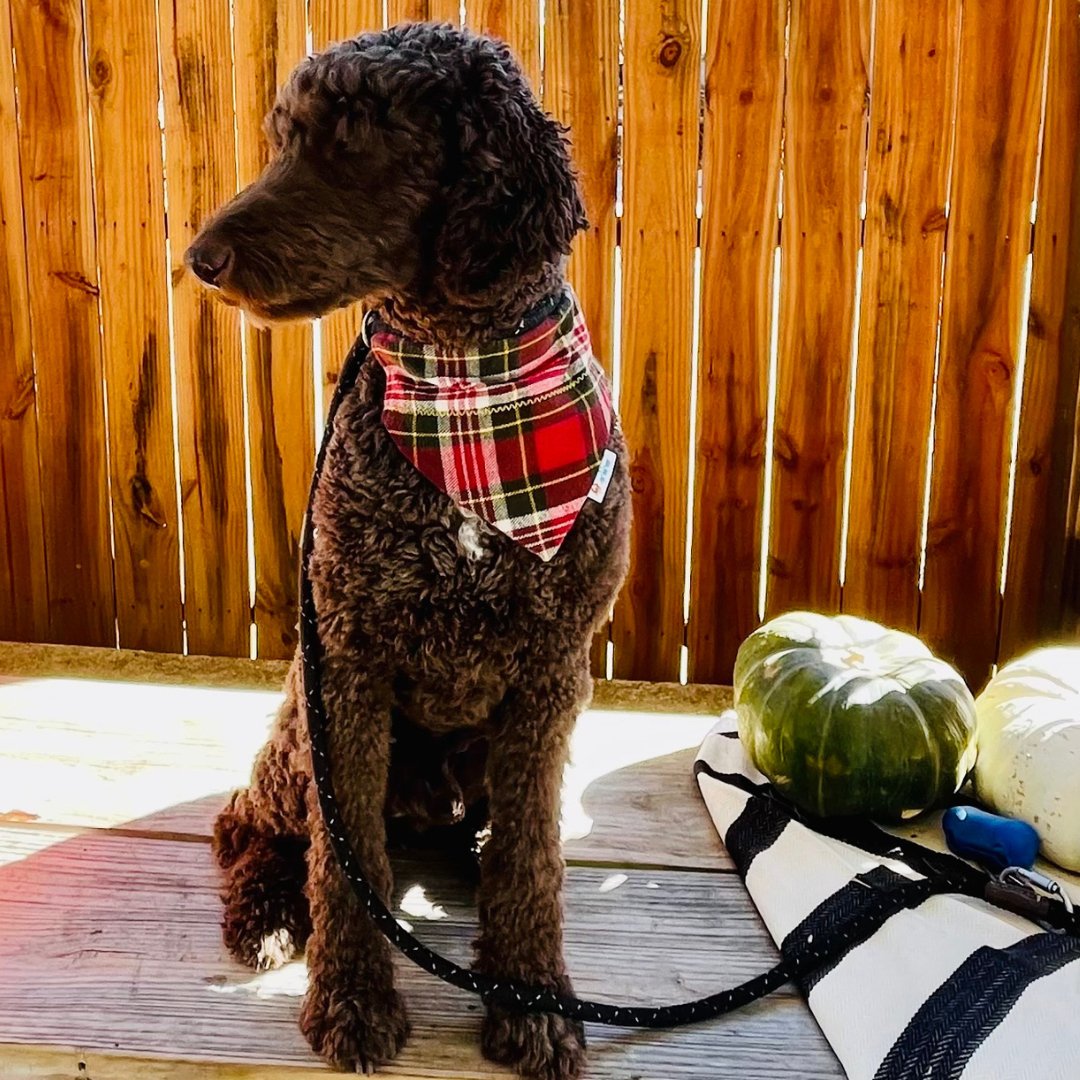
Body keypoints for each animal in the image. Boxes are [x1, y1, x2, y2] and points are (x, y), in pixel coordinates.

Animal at [187, 23, 630, 1080]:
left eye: (353, 144)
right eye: (283, 140)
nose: (200, 258)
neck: (466, 386)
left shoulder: (552, 675)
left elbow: (531, 858)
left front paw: (533, 1001)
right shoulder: (351, 662)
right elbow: (346, 867)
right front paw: (351, 1002)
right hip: (299, 731)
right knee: (251, 825)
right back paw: (269, 914)